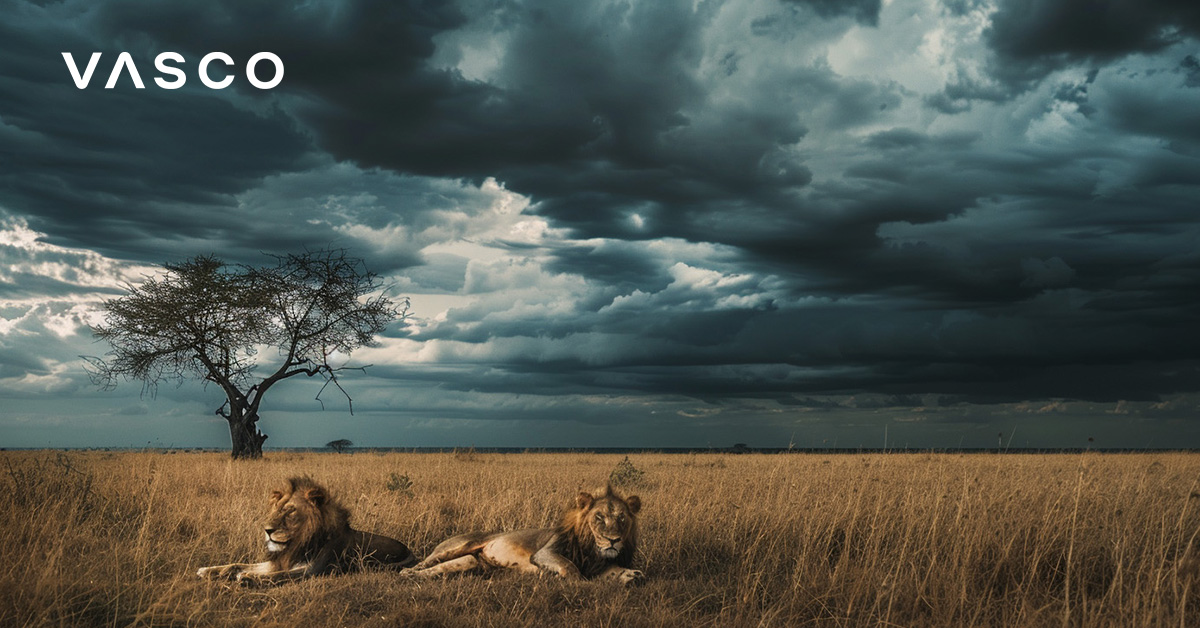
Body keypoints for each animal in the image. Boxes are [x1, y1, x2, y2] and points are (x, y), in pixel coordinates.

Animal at [196, 480, 417, 588]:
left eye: (291, 511)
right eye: (276, 508)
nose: (267, 530)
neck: (298, 543)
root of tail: (410, 551)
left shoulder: (313, 570)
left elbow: (280, 576)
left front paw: (249, 578)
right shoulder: (278, 562)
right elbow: (237, 564)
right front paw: (208, 570)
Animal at [403, 485, 648, 588]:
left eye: (622, 518)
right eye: (599, 517)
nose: (613, 540)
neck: (592, 551)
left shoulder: (601, 566)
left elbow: (615, 571)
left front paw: (632, 575)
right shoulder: (545, 552)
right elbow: (570, 567)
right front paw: (574, 582)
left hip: (470, 562)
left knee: (439, 569)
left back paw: (413, 577)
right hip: (457, 545)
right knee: (427, 561)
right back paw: (407, 571)